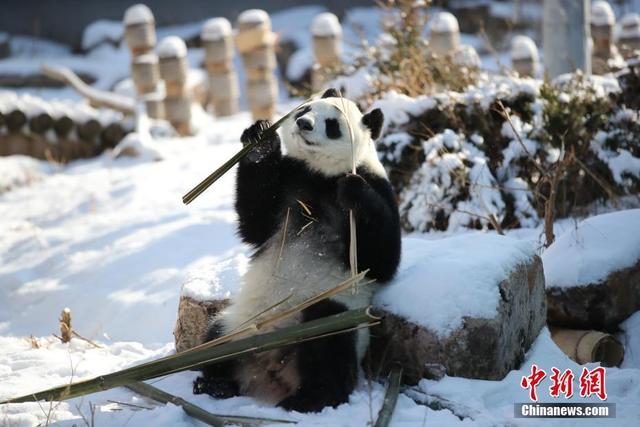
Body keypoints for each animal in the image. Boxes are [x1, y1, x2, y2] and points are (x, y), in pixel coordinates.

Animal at [194, 88, 400, 412]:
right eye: (305, 108)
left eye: (332, 125)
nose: (303, 123)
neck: (320, 176)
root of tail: (271, 368)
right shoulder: (290, 184)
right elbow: (255, 221)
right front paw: (260, 141)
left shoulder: (380, 189)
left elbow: (381, 260)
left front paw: (354, 190)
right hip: (243, 323)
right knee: (216, 340)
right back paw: (215, 384)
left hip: (332, 313)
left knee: (327, 342)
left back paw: (309, 399)